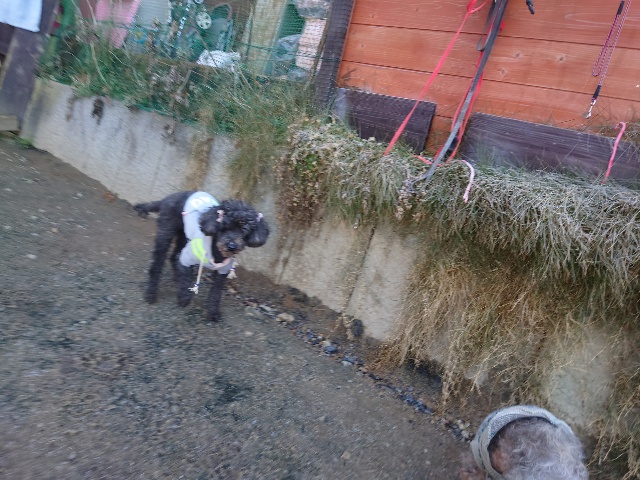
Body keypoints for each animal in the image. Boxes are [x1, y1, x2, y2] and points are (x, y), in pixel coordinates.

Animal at [134, 191, 269, 322]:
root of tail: (168, 198)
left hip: (183, 235)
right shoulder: (187, 257)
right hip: (166, 232)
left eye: (244, 230)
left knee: (174, 256)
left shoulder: (222, 272)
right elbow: (186, 280)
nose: (231, 246)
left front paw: (213, 312)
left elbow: (216, 292)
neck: (216, 252)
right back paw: (151, 293)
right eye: (223, 227)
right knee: (158, 263)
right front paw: (184, 298)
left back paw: (176, 276)